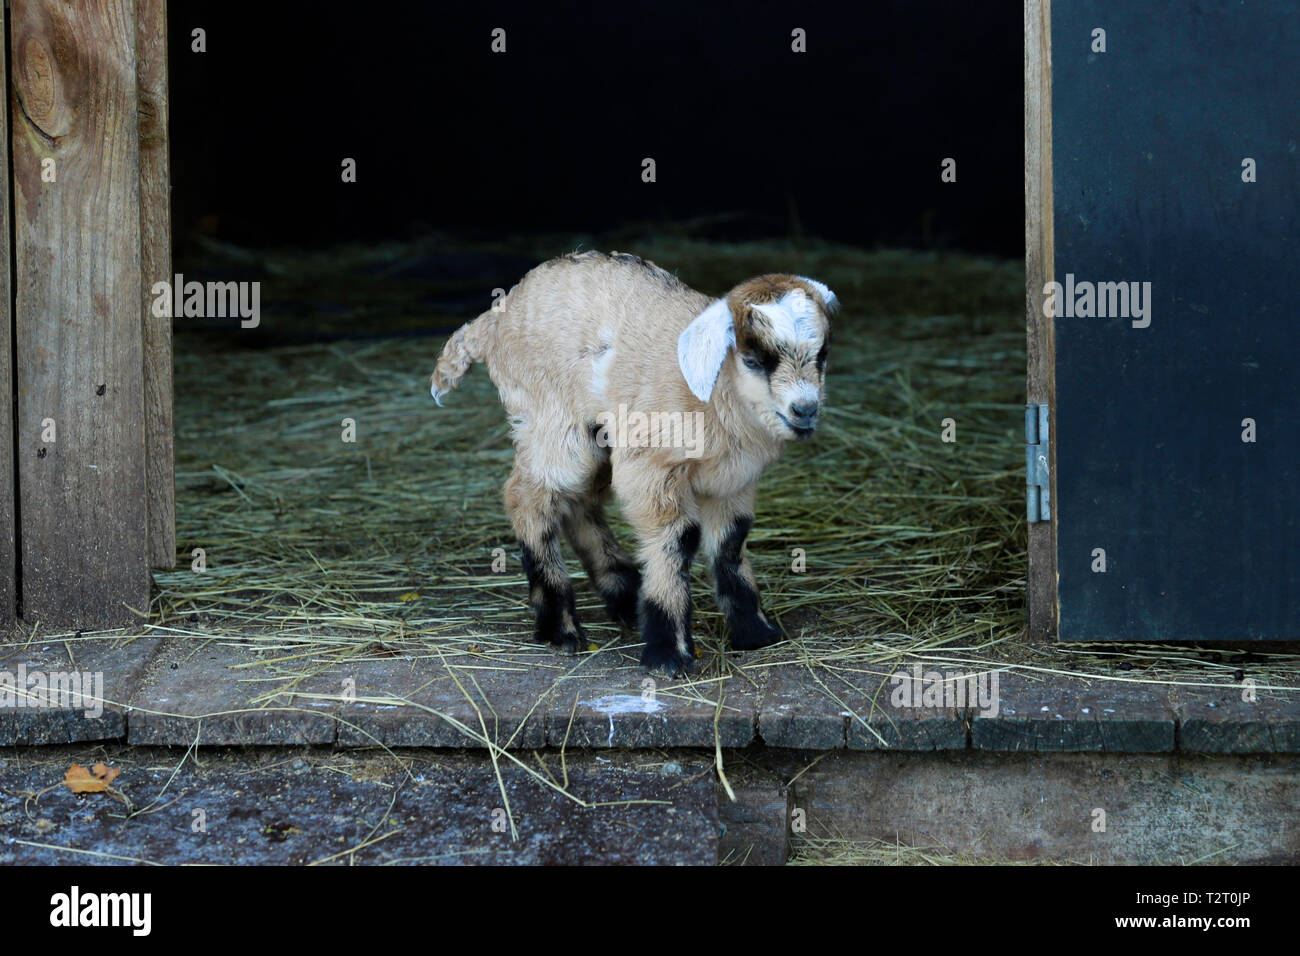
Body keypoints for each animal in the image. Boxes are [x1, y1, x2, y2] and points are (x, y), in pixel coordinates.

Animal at [431, 251, 837, 676]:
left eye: (822, 354)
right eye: (755, 359)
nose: (805, 410)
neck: (718, 392)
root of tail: (494, 321)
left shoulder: (733, 480)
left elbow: (730, 541)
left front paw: (755, 632)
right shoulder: (652, 468)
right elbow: (677, 539)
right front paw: (668, 653)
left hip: (597, 434)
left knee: (577, 501)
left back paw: (623, 593)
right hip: (551, 419)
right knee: (528, 497)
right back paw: (561, 628)